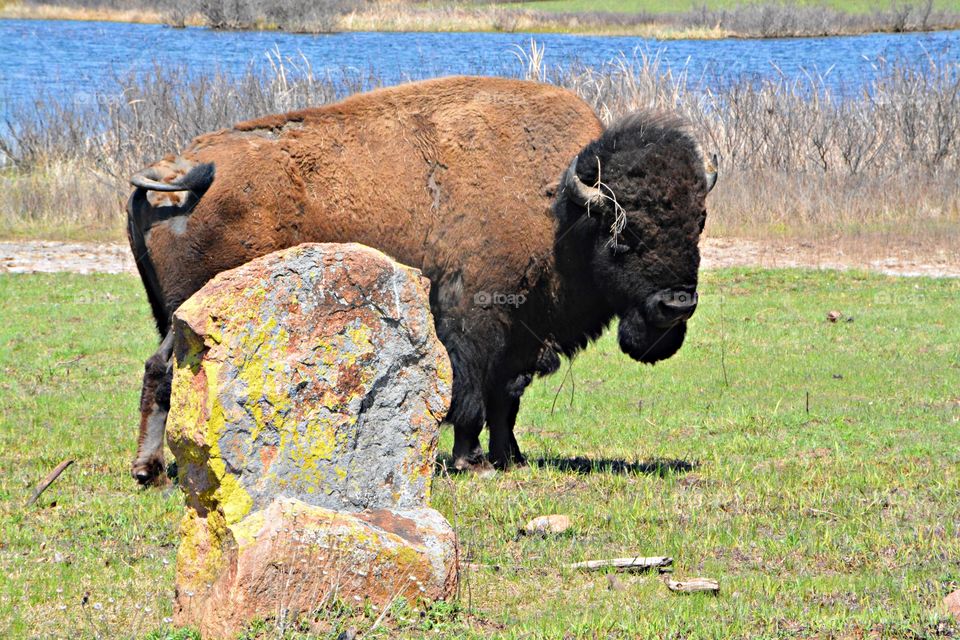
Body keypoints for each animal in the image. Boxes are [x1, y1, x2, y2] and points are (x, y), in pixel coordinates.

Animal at [127, 75, 712, 484]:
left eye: (698, 223)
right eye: (625, 231)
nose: (676, 306)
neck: (559, 208)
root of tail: (179, 173)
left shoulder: (524, 334)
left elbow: (507, 398)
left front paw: (512, 458)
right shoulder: (476, 319)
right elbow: (471, 394)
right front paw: (472, 461)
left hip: (176, 316)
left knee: (159, 370)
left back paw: (151, 469)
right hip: (194, 314)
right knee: (167, 372)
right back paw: (154, 471)